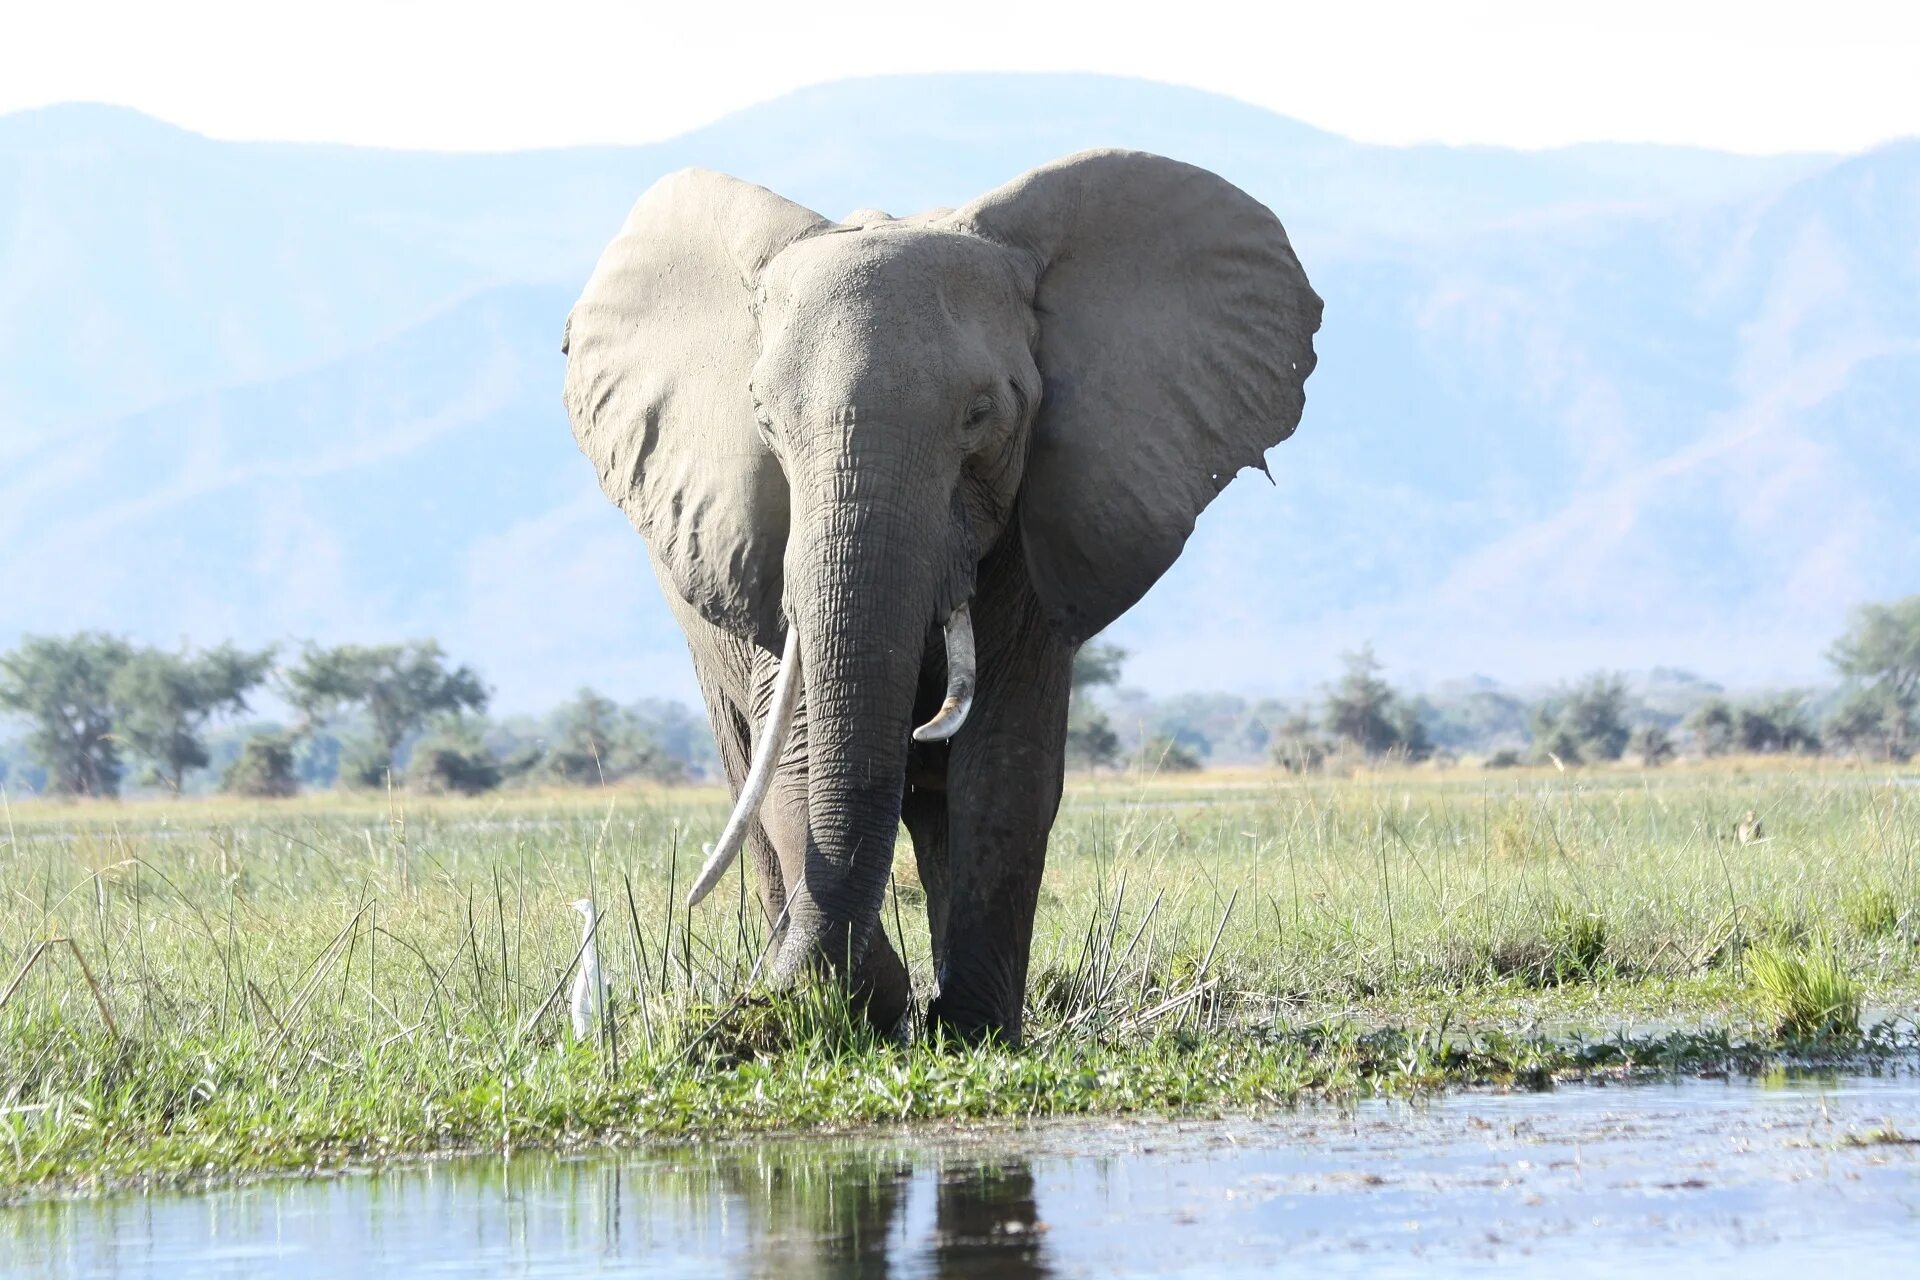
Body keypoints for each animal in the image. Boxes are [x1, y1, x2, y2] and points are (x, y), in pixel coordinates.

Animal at [560, 150, 1320, 1043]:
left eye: (982, 415)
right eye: (763, 419)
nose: (749, 1012)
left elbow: (1005, 766)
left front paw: (970, 1034)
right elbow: (797, 754)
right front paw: (853, 1003)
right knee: (750, 771)